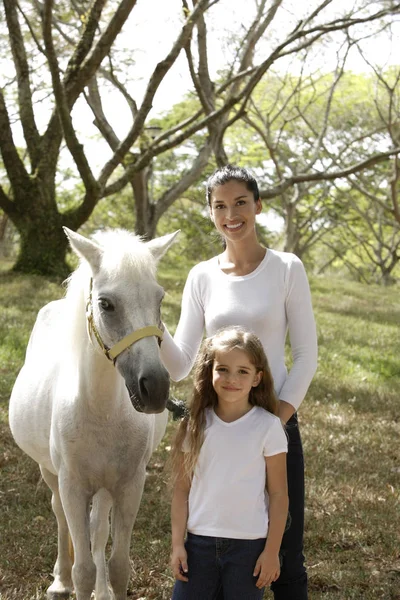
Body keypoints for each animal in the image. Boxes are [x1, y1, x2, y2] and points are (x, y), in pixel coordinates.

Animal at [8, 226, 178, 600]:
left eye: (159, 299)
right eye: (106, 304)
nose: (155, 387)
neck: (102, 412)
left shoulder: (130, 485)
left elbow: (118, 566)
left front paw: (106, 587)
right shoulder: (72, 485)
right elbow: (82, 569)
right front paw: (74, 581)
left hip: (103, 486)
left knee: (98, 529)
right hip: (51, 473)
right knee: (59, 515)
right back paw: (60, 581)